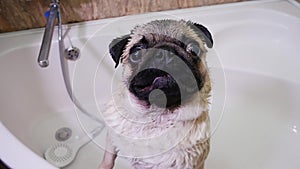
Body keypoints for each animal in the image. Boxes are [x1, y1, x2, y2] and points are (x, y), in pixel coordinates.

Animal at [98, 19, 213, 169]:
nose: (165, 53)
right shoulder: (112, 136)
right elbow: (109, 156)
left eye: (193, 49)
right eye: (136, 52)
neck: (157, 116)